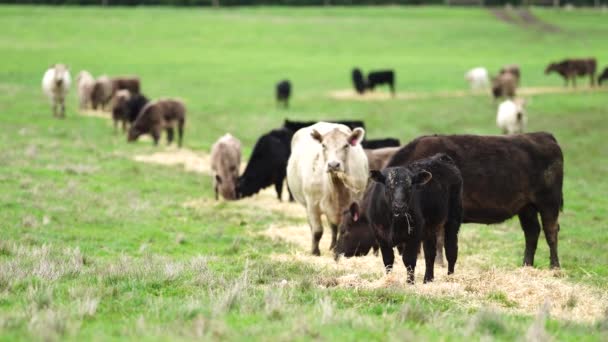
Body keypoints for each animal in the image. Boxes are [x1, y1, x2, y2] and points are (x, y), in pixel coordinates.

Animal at [288, 121, 368, 255]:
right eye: (323, 145)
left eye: (346, 145)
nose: (333, 165)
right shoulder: (312, 205)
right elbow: (317, 231)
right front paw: (315, 252)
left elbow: (341, 229)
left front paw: (337, 249)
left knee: (333, 227)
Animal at [366, 154, 466, 284]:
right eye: (389, 186)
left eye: (409, 187)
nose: (400, 206)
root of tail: (441, 157)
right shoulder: (380, 235)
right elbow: (388, 260)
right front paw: (389, 280)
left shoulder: (414, 234)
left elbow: (409, 260)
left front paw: (410, 283)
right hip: (430, 227)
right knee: (430, 253)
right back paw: (428, 279)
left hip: (453, 218)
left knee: (451, 250)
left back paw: (450, 277)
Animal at [388, 132, 564, 268]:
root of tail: (544, 136)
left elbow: (438, 239)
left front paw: (438, 263)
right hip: (527, 207)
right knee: (532, 232)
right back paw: (526, 265)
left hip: (549, 204)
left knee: (551, 232)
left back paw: (554, 267)